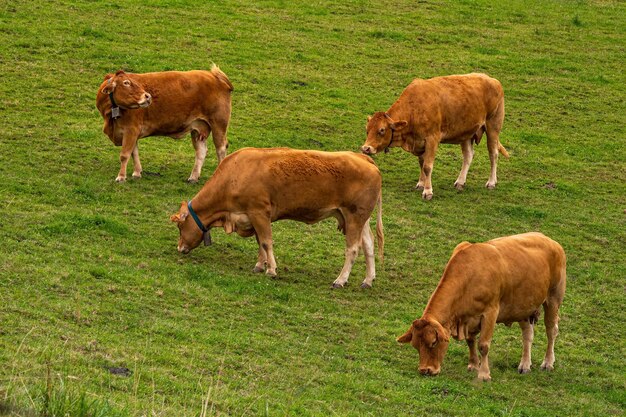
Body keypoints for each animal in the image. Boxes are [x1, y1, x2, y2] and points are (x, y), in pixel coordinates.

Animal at [96, 64, 233, 181]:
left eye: (132, 81)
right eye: (126, 83)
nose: (148, 96)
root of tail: (214, 75)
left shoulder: (131, 129)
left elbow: (125, 154)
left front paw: (121, 177)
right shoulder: (131, 132)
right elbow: (134, 153)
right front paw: (137, 173)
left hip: (219, 124)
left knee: (221, 149)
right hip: (198, 127)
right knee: (201, 151)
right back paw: (193, 177)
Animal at [171, 148, 386, 288]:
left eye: (180, 227)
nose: (179, 248)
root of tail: (363, 158)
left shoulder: (259, 212)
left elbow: (266, 241)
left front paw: (271, 270)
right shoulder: (253, 216)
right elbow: (260, 241)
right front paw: (259, 265)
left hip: (354, 217)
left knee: (353, 249)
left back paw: (340, 280)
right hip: (359, 219)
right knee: (369, 245)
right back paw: (368, 280)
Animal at [360, 72, 508, 200]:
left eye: (382, 130)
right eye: (367, 130)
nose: (366, 148)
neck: (415, 108)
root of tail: (492, 80)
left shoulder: (432, 139)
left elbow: (427, 166)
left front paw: (428, 191)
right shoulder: (419, 141)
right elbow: (421, 162)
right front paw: (421, 183)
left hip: (493, 126)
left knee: (493, 154)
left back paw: (491, 182)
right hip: (466, 133)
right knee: (468, 155)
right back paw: (460, 181)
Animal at [398, 232, 564, 382]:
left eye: (433, 342)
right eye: (415, 345)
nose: (425, 370)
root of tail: (551, 241)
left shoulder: (490, 312)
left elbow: (483, 345)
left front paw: (484, 374)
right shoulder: (468, 317)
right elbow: (470, 341)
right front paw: (473, 365)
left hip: (553, 298)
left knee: (551, 330)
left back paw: (548, 362)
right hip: (523, 307)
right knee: (528, 334)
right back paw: (525, 365)